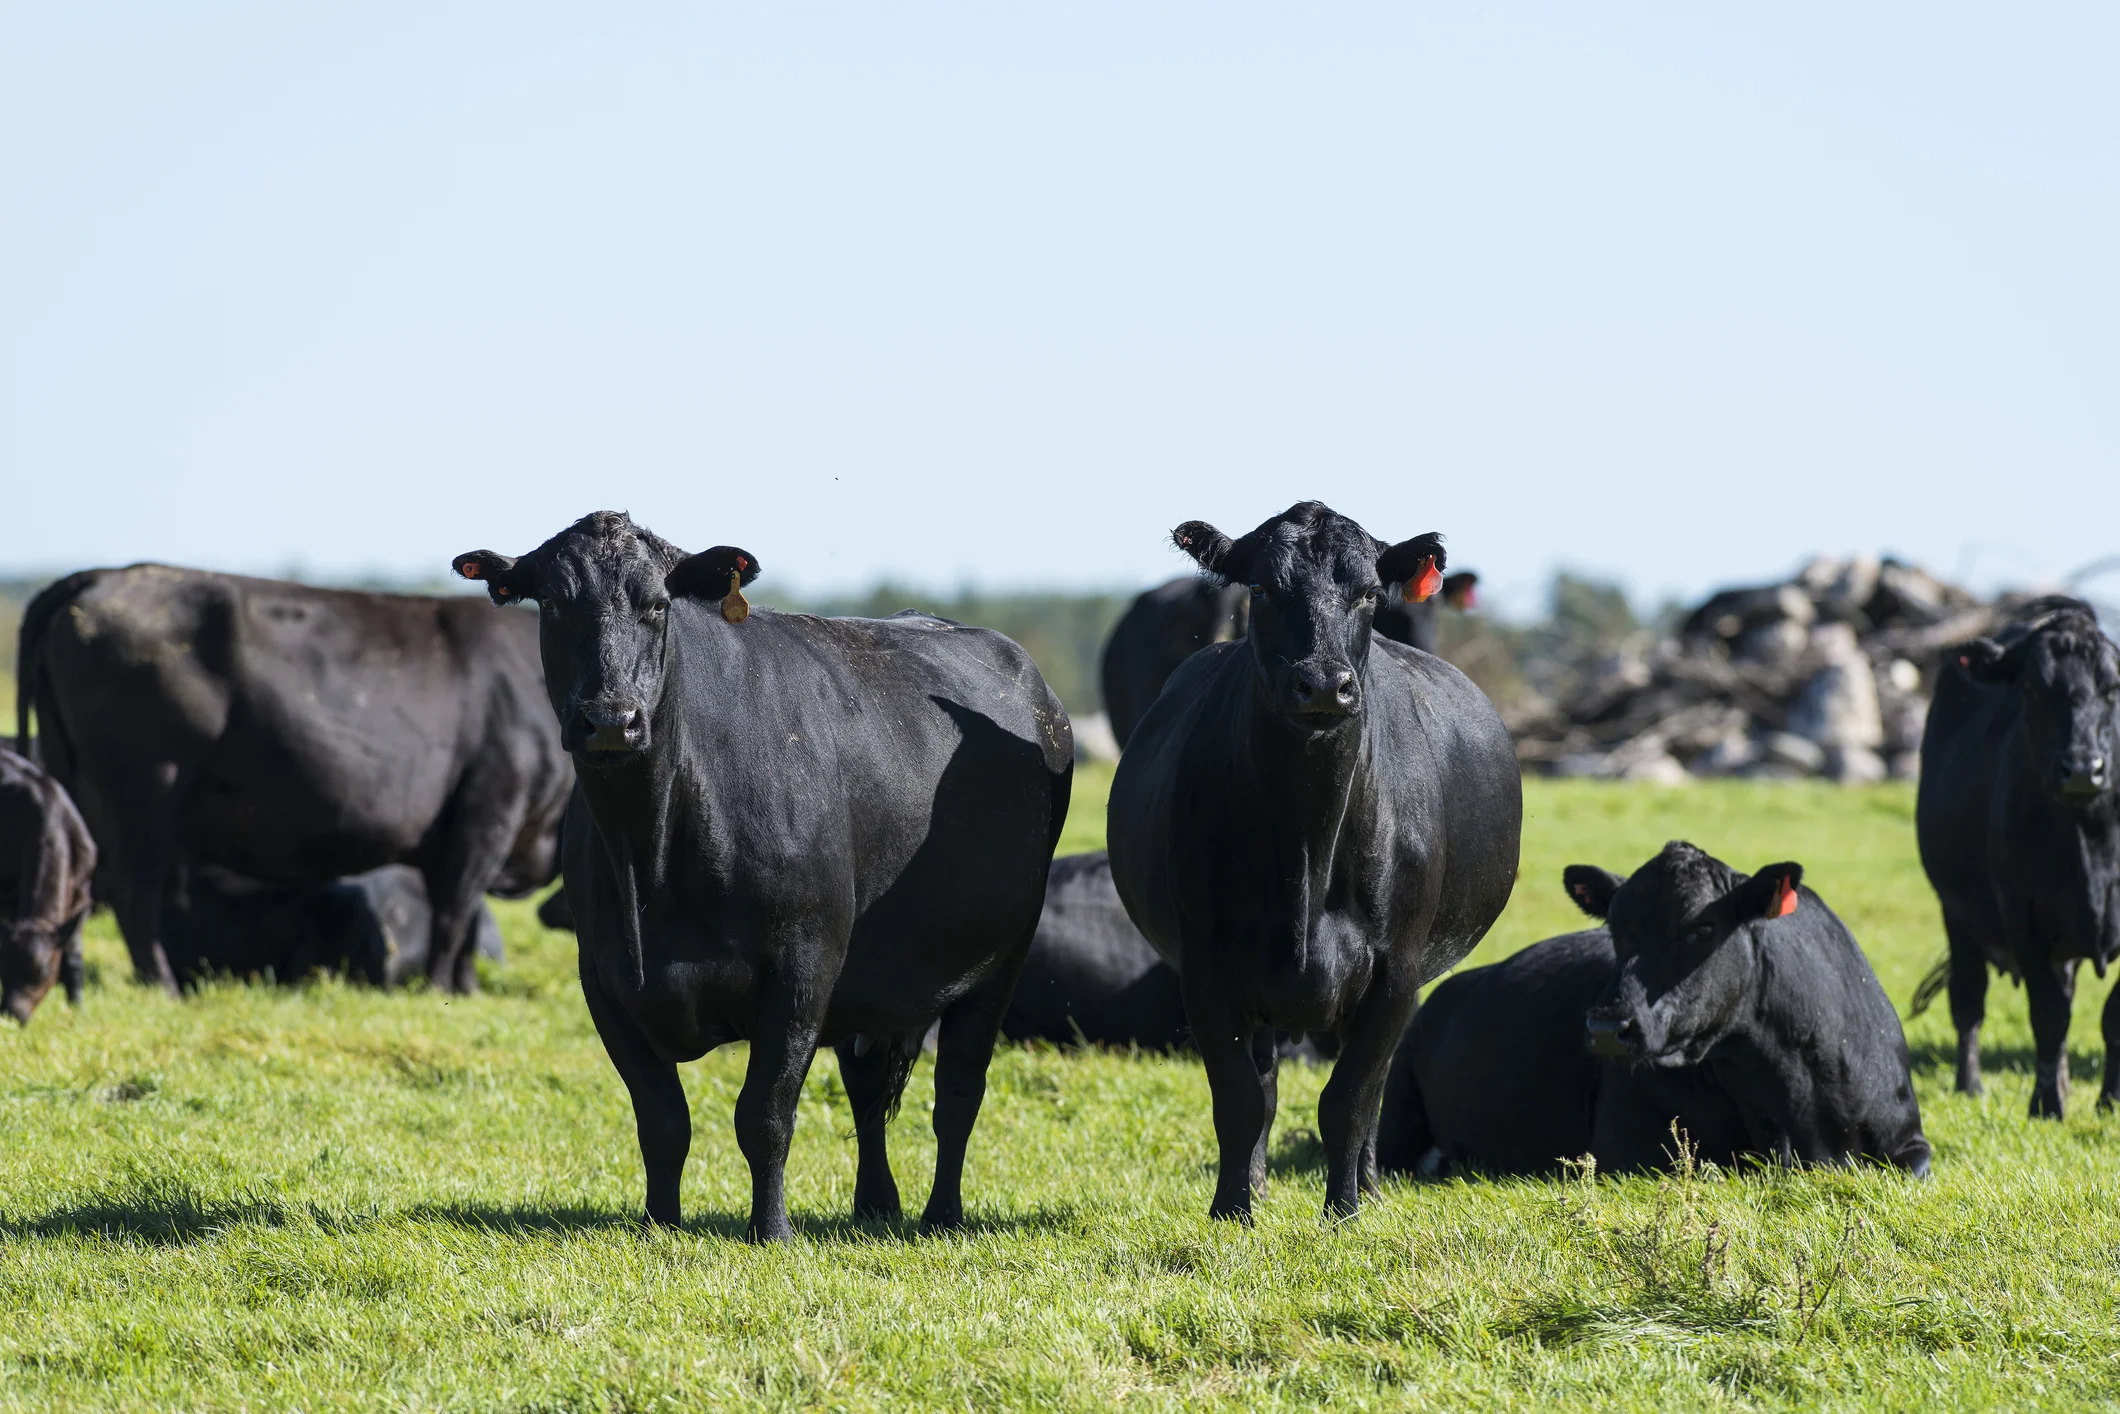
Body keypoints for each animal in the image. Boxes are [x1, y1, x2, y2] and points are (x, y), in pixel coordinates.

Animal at [0, 745, 96, 1024]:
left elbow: (73, 953)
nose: (12, 1013)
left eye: (41, 971)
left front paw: (77, 1006)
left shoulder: (82, 893)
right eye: (2, 970)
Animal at [452, 511, 1073, 1241]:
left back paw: (941, 1213)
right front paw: (660, 1222)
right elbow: (662, 1121)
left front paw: (770, 1230)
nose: (610, 720)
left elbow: (765, 1113)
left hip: (1000, 956)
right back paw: (875, 1203)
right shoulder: (603, 979)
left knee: (958, 1092)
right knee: (867, 1088)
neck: (652, 862)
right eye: (551, 603)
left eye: (658, 604)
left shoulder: (804, 966)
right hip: (874, 980)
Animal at [1107, 501, 1522, 1221]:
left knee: (1372, 1093)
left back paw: (1371, 1187)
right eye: (1263, 588)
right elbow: (1241, 1102)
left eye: (1370, 593)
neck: (1308, 849)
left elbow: (1349, 1100)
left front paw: (1345, 1210)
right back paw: (1258, 1185)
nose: (1324, 684)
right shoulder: (1207, 969)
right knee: (1268, 1089)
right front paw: (1233, 1211)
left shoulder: (1396, 974)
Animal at [1915, 596, 2120, 1118]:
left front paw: (2109, 1099)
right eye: (2032, 687)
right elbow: (2048, 1014)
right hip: (1956, 913)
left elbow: (2110, 1012)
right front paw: (2046, 1105)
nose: (2082, 769)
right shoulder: (2023, 915)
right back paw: (1970, 1084)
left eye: (2113, 688)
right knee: (1968, 1000)